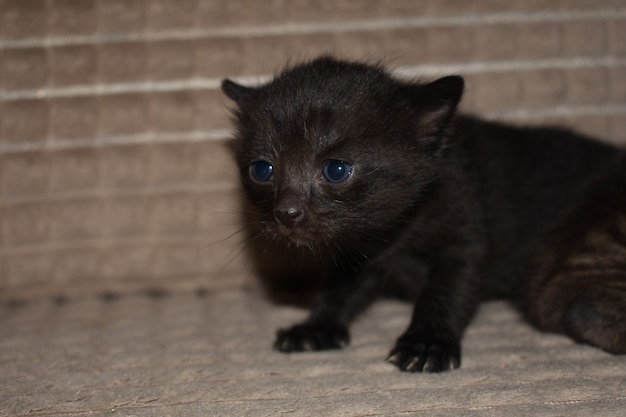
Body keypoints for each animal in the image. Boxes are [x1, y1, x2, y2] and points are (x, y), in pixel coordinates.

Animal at [222, 55, 620, 370]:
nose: (286, 213)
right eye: (262, 170)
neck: (391, 233)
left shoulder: (464, 233)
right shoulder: (353, 252)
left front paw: (428, 343)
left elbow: (445, 291)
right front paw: (316, 326)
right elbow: (337, 289)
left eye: (336, 170)